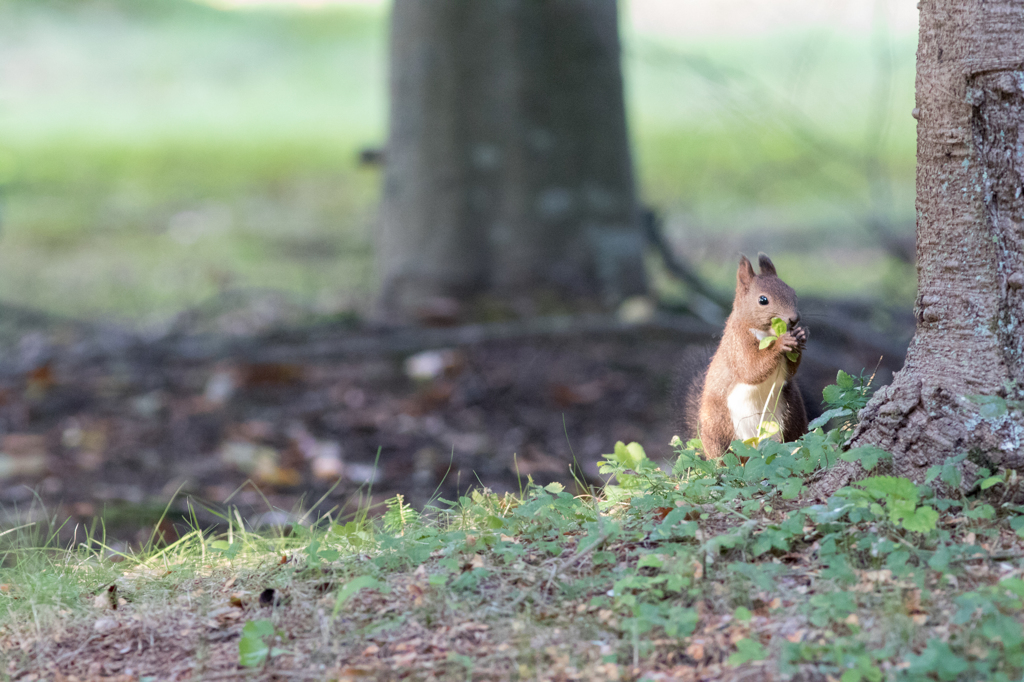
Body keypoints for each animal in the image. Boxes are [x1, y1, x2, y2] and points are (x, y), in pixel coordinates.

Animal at [684, 253, 811, 456]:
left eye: (793, 293)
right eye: (763, 300)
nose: (794, 319)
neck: (767, 333)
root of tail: (755, 445)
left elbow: (790, 372)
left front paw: (800, 335)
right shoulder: (737, 346)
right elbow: (751, 369)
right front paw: (781, 343)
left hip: (793, 417)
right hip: (718, 428)